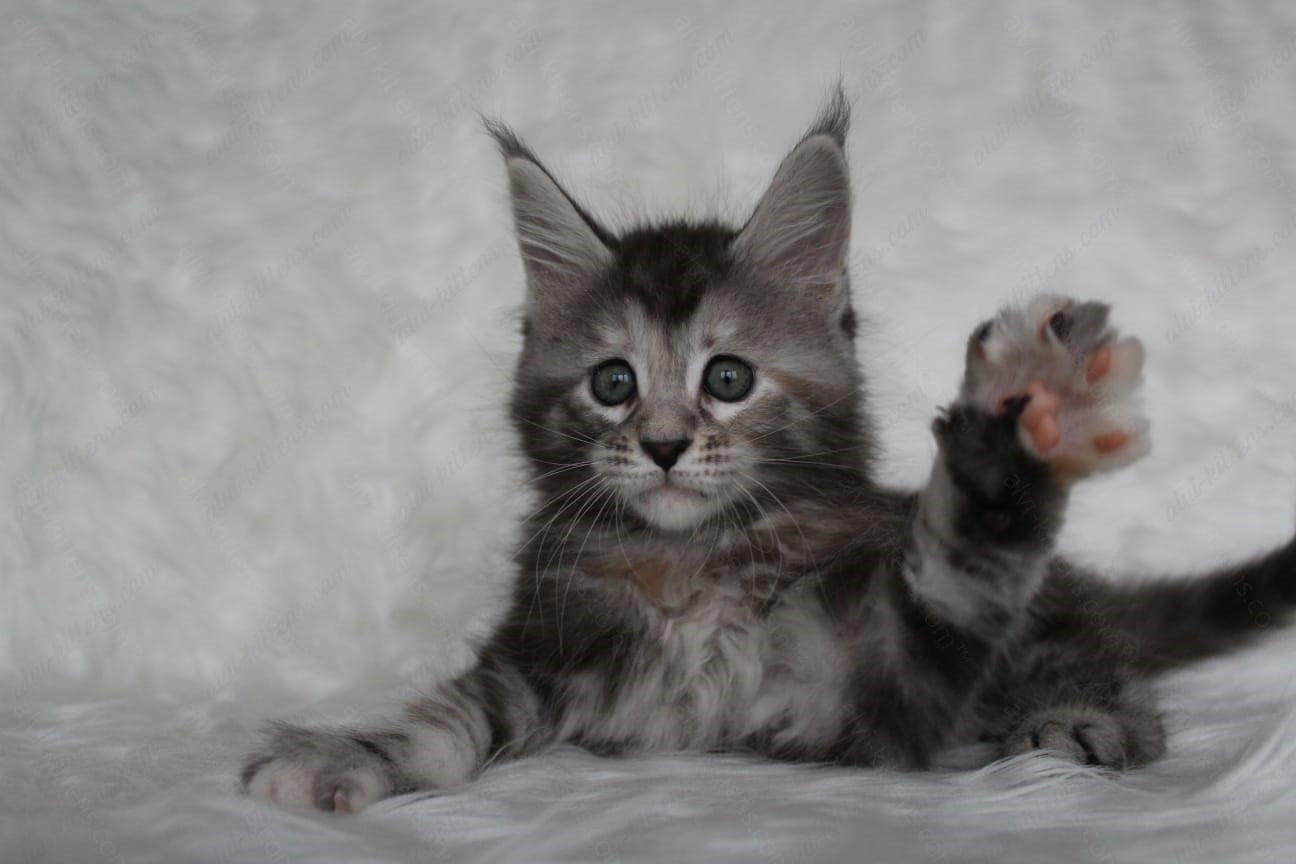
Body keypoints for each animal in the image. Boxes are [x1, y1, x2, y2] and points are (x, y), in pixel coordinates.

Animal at [243, 91, 1296, 813]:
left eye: (728, 378)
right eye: (614, 383)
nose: (665, 446)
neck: (687, 565)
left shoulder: (877, 698)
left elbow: (957, 575)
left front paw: (1020, 420)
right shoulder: (537, 650)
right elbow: (445, 716)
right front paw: (344, 754)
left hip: (1051, 627)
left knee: (1093, 650)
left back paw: (1083, 718)